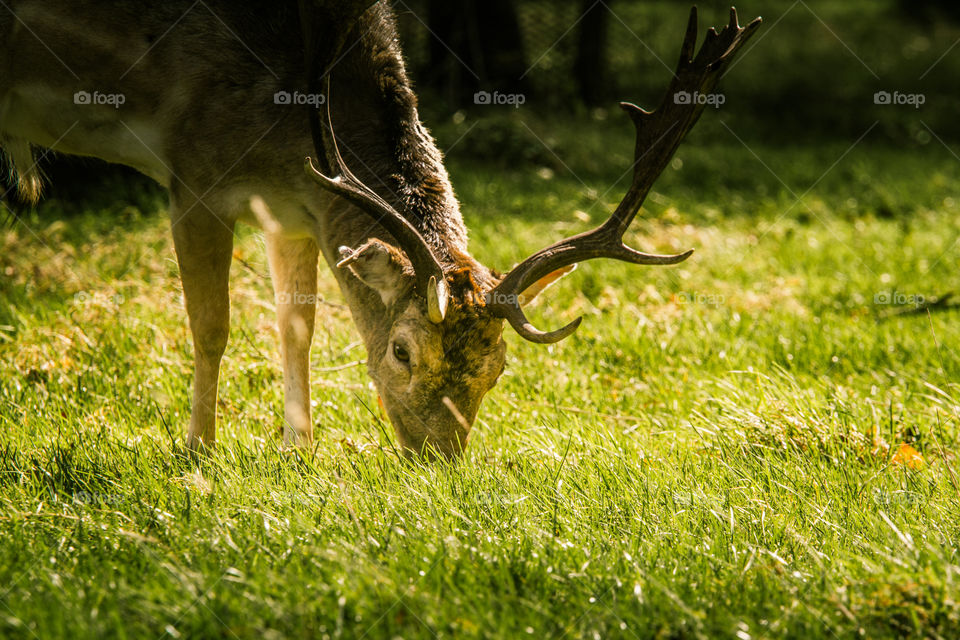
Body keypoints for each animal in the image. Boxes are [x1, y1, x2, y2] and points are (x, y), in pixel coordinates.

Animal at [1, 1, 764, 460]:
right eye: (401, 351)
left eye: (497, 365)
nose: (437, 461)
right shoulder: (193, 173)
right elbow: (211, 327)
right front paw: (197, 451)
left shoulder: (294, 209)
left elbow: (297, 328)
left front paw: (298, 451)